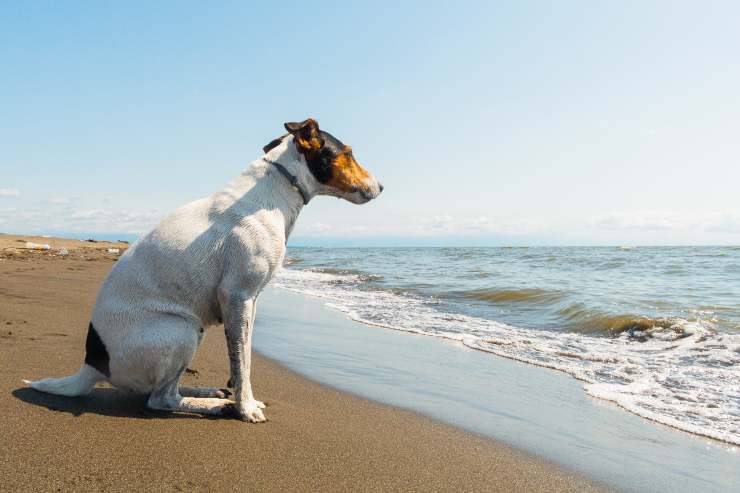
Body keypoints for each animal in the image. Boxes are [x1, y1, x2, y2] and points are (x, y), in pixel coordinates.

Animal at [24, 117, 382, 420]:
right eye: (348, 153)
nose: (381, 187)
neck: (278, 187)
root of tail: (93, 364)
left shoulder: (251, 301)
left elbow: (242, 358)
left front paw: (241, 397)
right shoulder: (237, 296)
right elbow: (242, 362)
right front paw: (245, 408)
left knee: (163, 391)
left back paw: (206, 391)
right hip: (181, 329)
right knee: (159, 399)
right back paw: (212, 405)